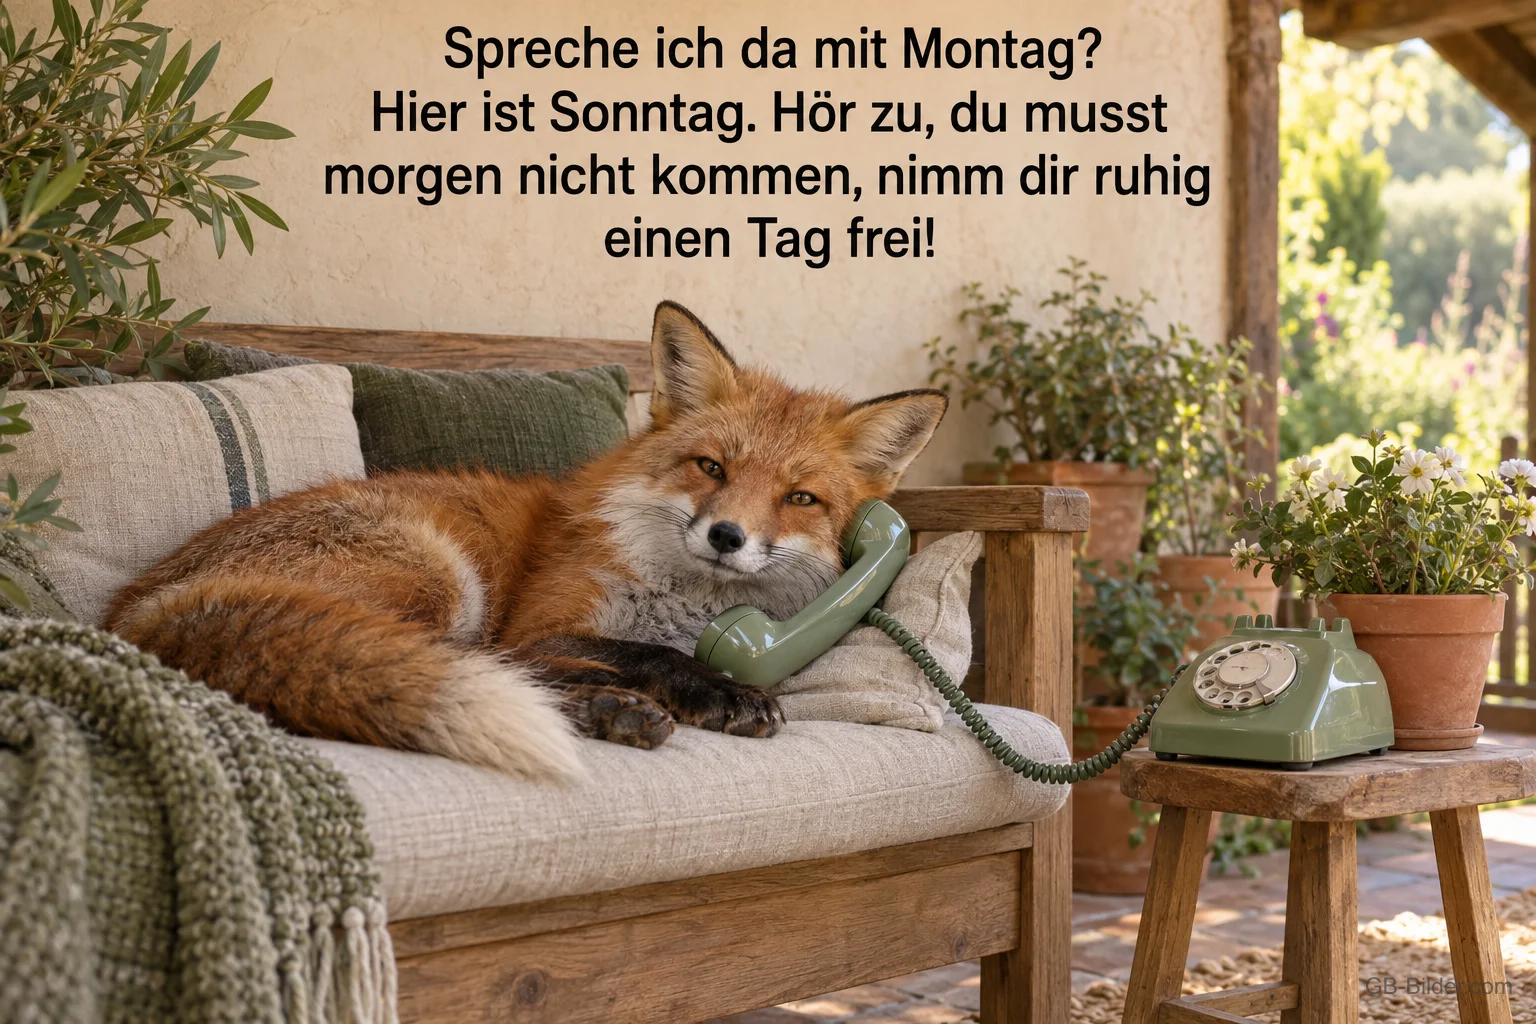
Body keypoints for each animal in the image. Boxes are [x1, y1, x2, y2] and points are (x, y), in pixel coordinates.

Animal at [105, 302, 948, 779]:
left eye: (800, 499)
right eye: (712, 467)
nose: (727, 535)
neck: (685, 603)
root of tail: (136, 611)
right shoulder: (542, 623)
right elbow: (643, 653)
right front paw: (716, 689)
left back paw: (607, 713)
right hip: (441, 580)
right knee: (475, 666)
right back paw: (609, 710)